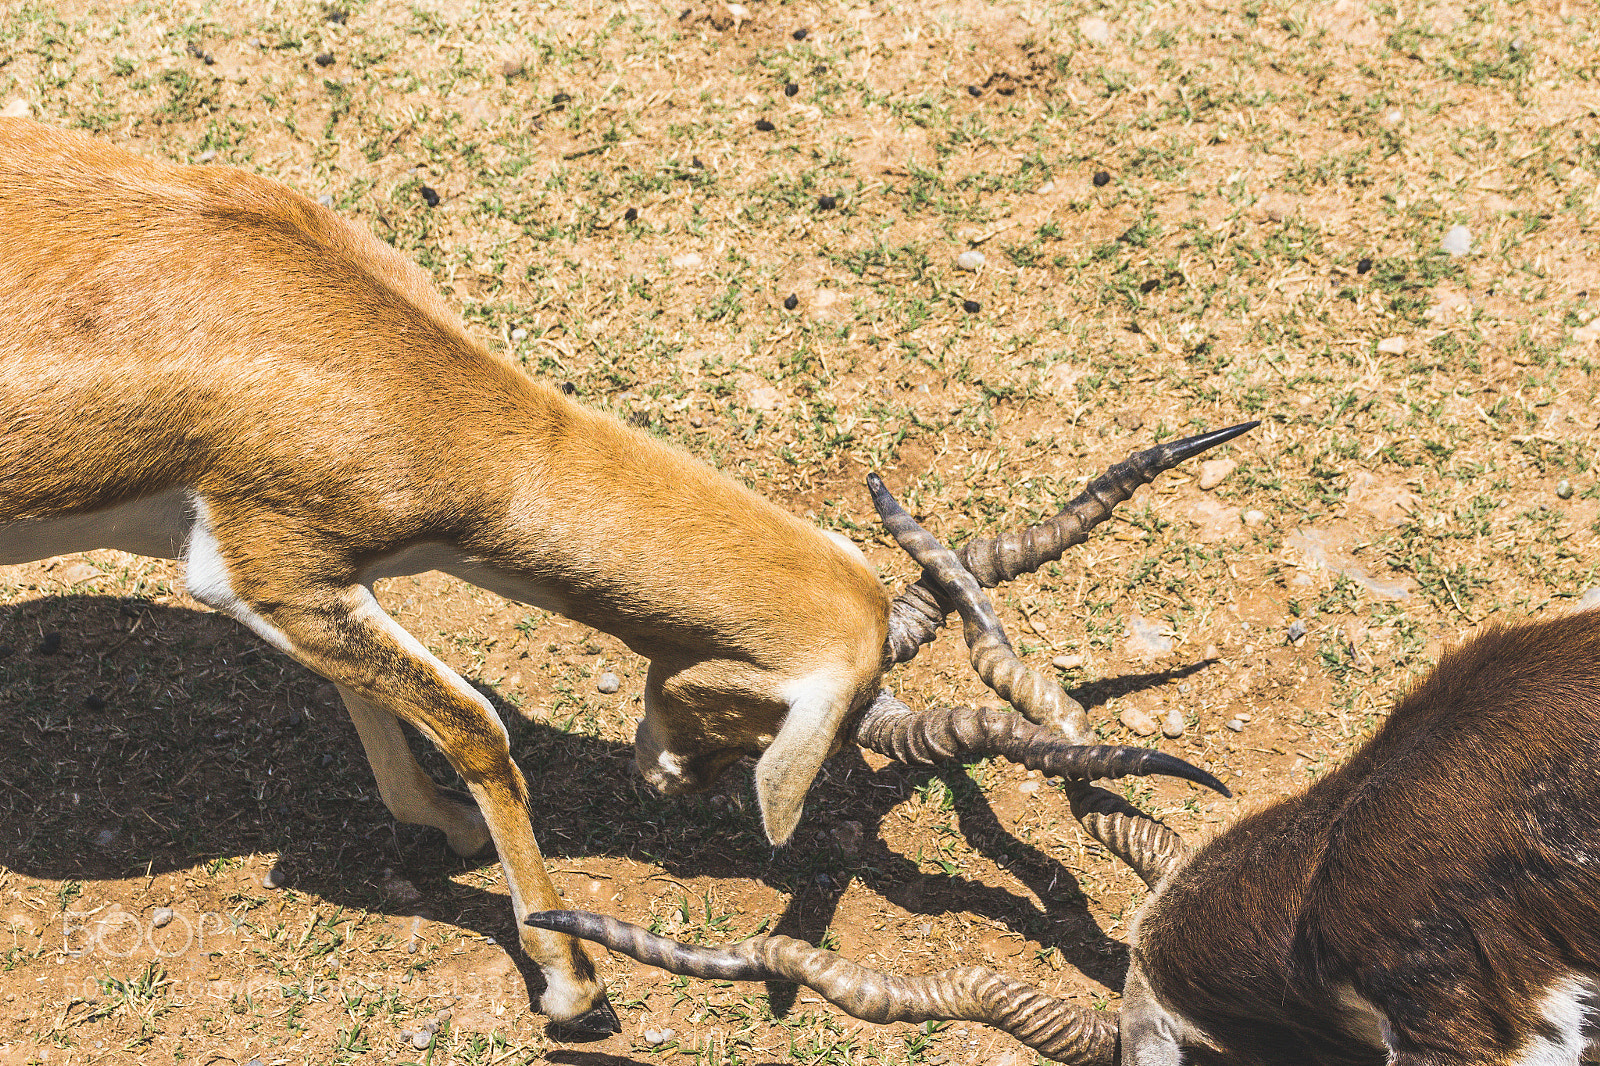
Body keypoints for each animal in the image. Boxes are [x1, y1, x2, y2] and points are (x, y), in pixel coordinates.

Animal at [0, 117, 1246, 1033]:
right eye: (788, 724)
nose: (678, 781)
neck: (401, 374)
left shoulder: (310, 581)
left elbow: (374, 695)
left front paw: (431, 820)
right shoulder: (262, 567)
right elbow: (476, 722)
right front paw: (573, 986)